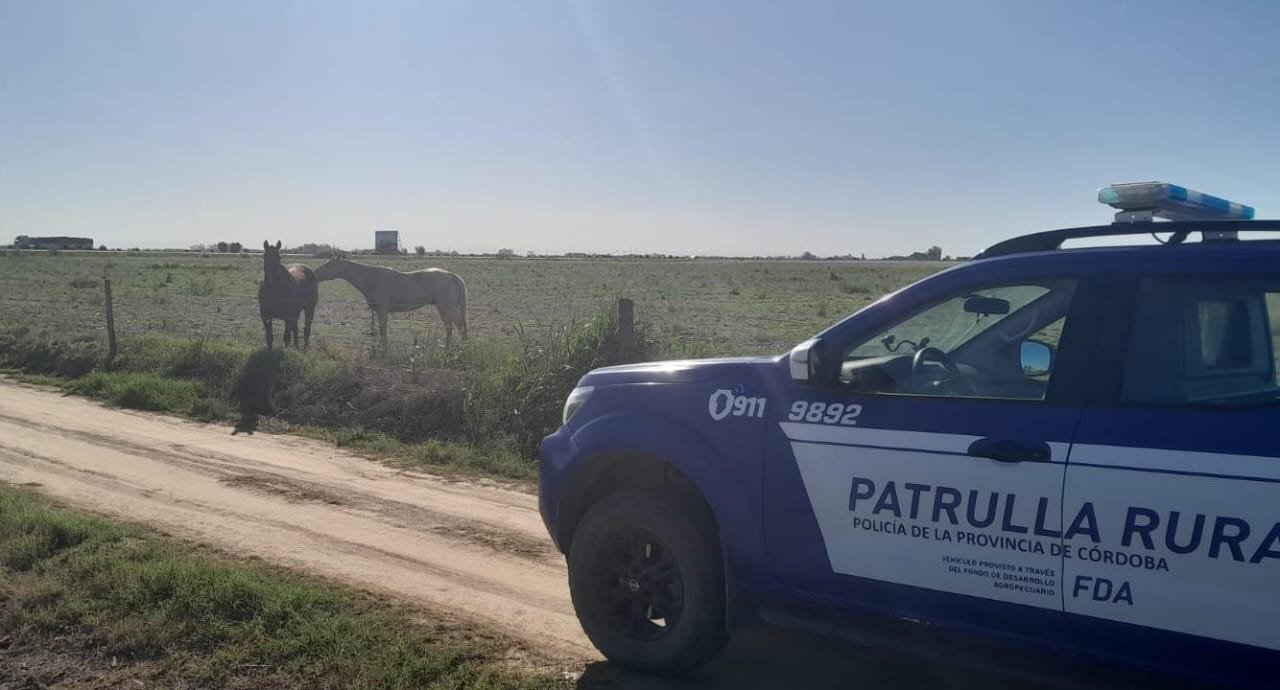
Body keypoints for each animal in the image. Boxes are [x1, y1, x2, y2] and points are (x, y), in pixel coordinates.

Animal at [314, 257, 471, 348]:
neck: (370, 277)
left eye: (327, 265)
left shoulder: (382, 310)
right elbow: (380, 328)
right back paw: (448, 346)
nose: (315, 274)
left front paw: (383, 348)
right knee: (450, 326)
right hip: (443, 308)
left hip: (446, 307)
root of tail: (452, 275)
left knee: (459, 326)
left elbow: (383, 329)